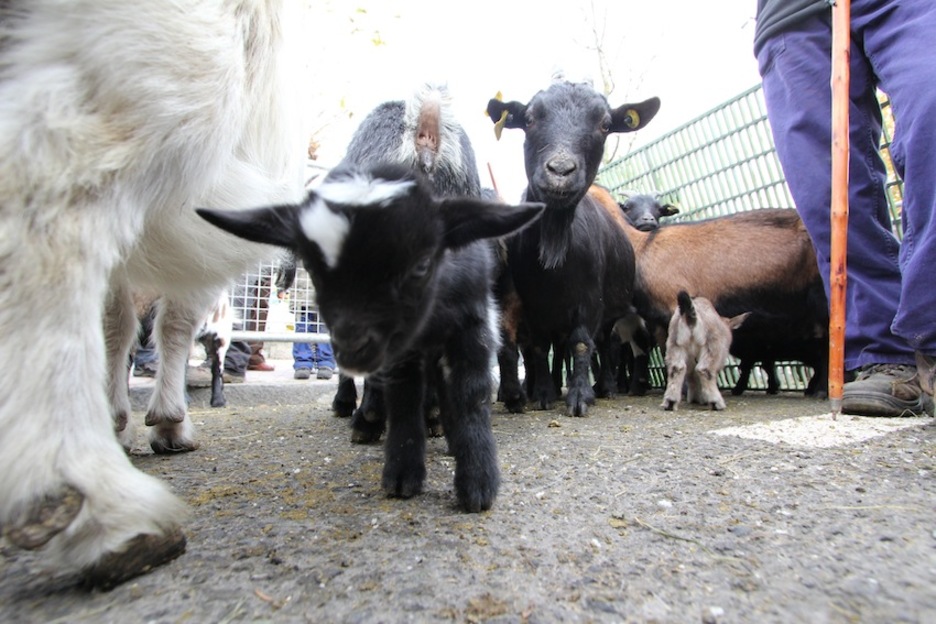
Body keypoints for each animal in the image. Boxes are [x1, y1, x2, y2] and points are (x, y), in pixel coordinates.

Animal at [0, 0, 307, 588]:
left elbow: (115, 322)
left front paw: (122, 416)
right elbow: (175, 321)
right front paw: (167, 419)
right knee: (45, 184)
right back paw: (91, 497)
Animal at [199, 163, 543, 512]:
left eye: (421, 264)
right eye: (311, 266)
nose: (353, 350)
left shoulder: (471, 326)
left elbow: (470, 395)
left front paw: (477, 483)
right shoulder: (400, 350)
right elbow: (404, 399)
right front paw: (402, 475)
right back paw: (361, 414)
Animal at [486, 80, 660, 416]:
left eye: (605, 124)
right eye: (529, 119)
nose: (560, 170)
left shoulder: (590, 300)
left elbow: (581, 343)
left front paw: (579, 396)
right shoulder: (532, 305)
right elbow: (538, 348)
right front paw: (542, 393)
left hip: (610, 310)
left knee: (604, 344)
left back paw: (606, 387)